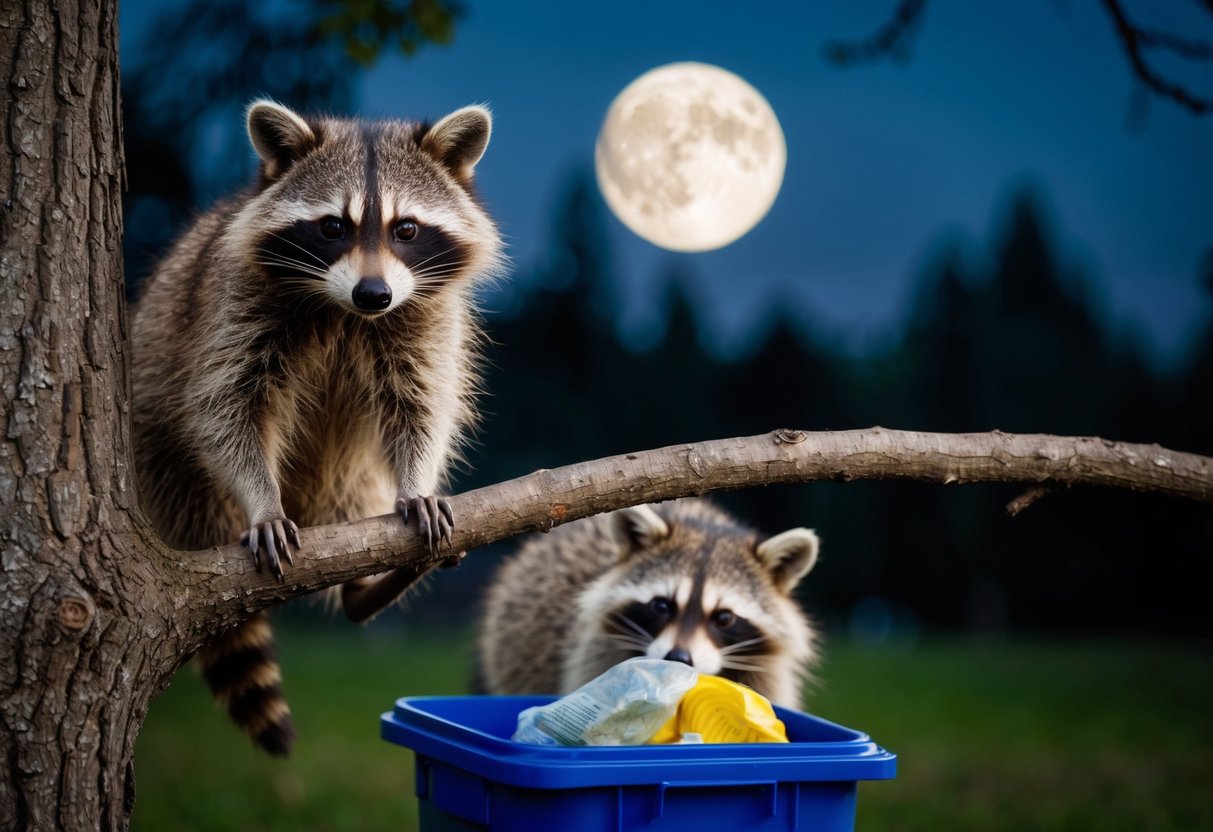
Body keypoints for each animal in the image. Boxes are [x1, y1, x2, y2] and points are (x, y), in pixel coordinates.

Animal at [132, 100, 503, 755]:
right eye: (333, 227)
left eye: (407, 229)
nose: (374, 293)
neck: (344, 310)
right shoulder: (232, 307)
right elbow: (226, 408)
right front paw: (261, 500)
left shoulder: (426, 316)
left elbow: (423, 405)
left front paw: (418, 482)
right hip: (159, 445)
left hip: (346, 483)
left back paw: (368, 588)